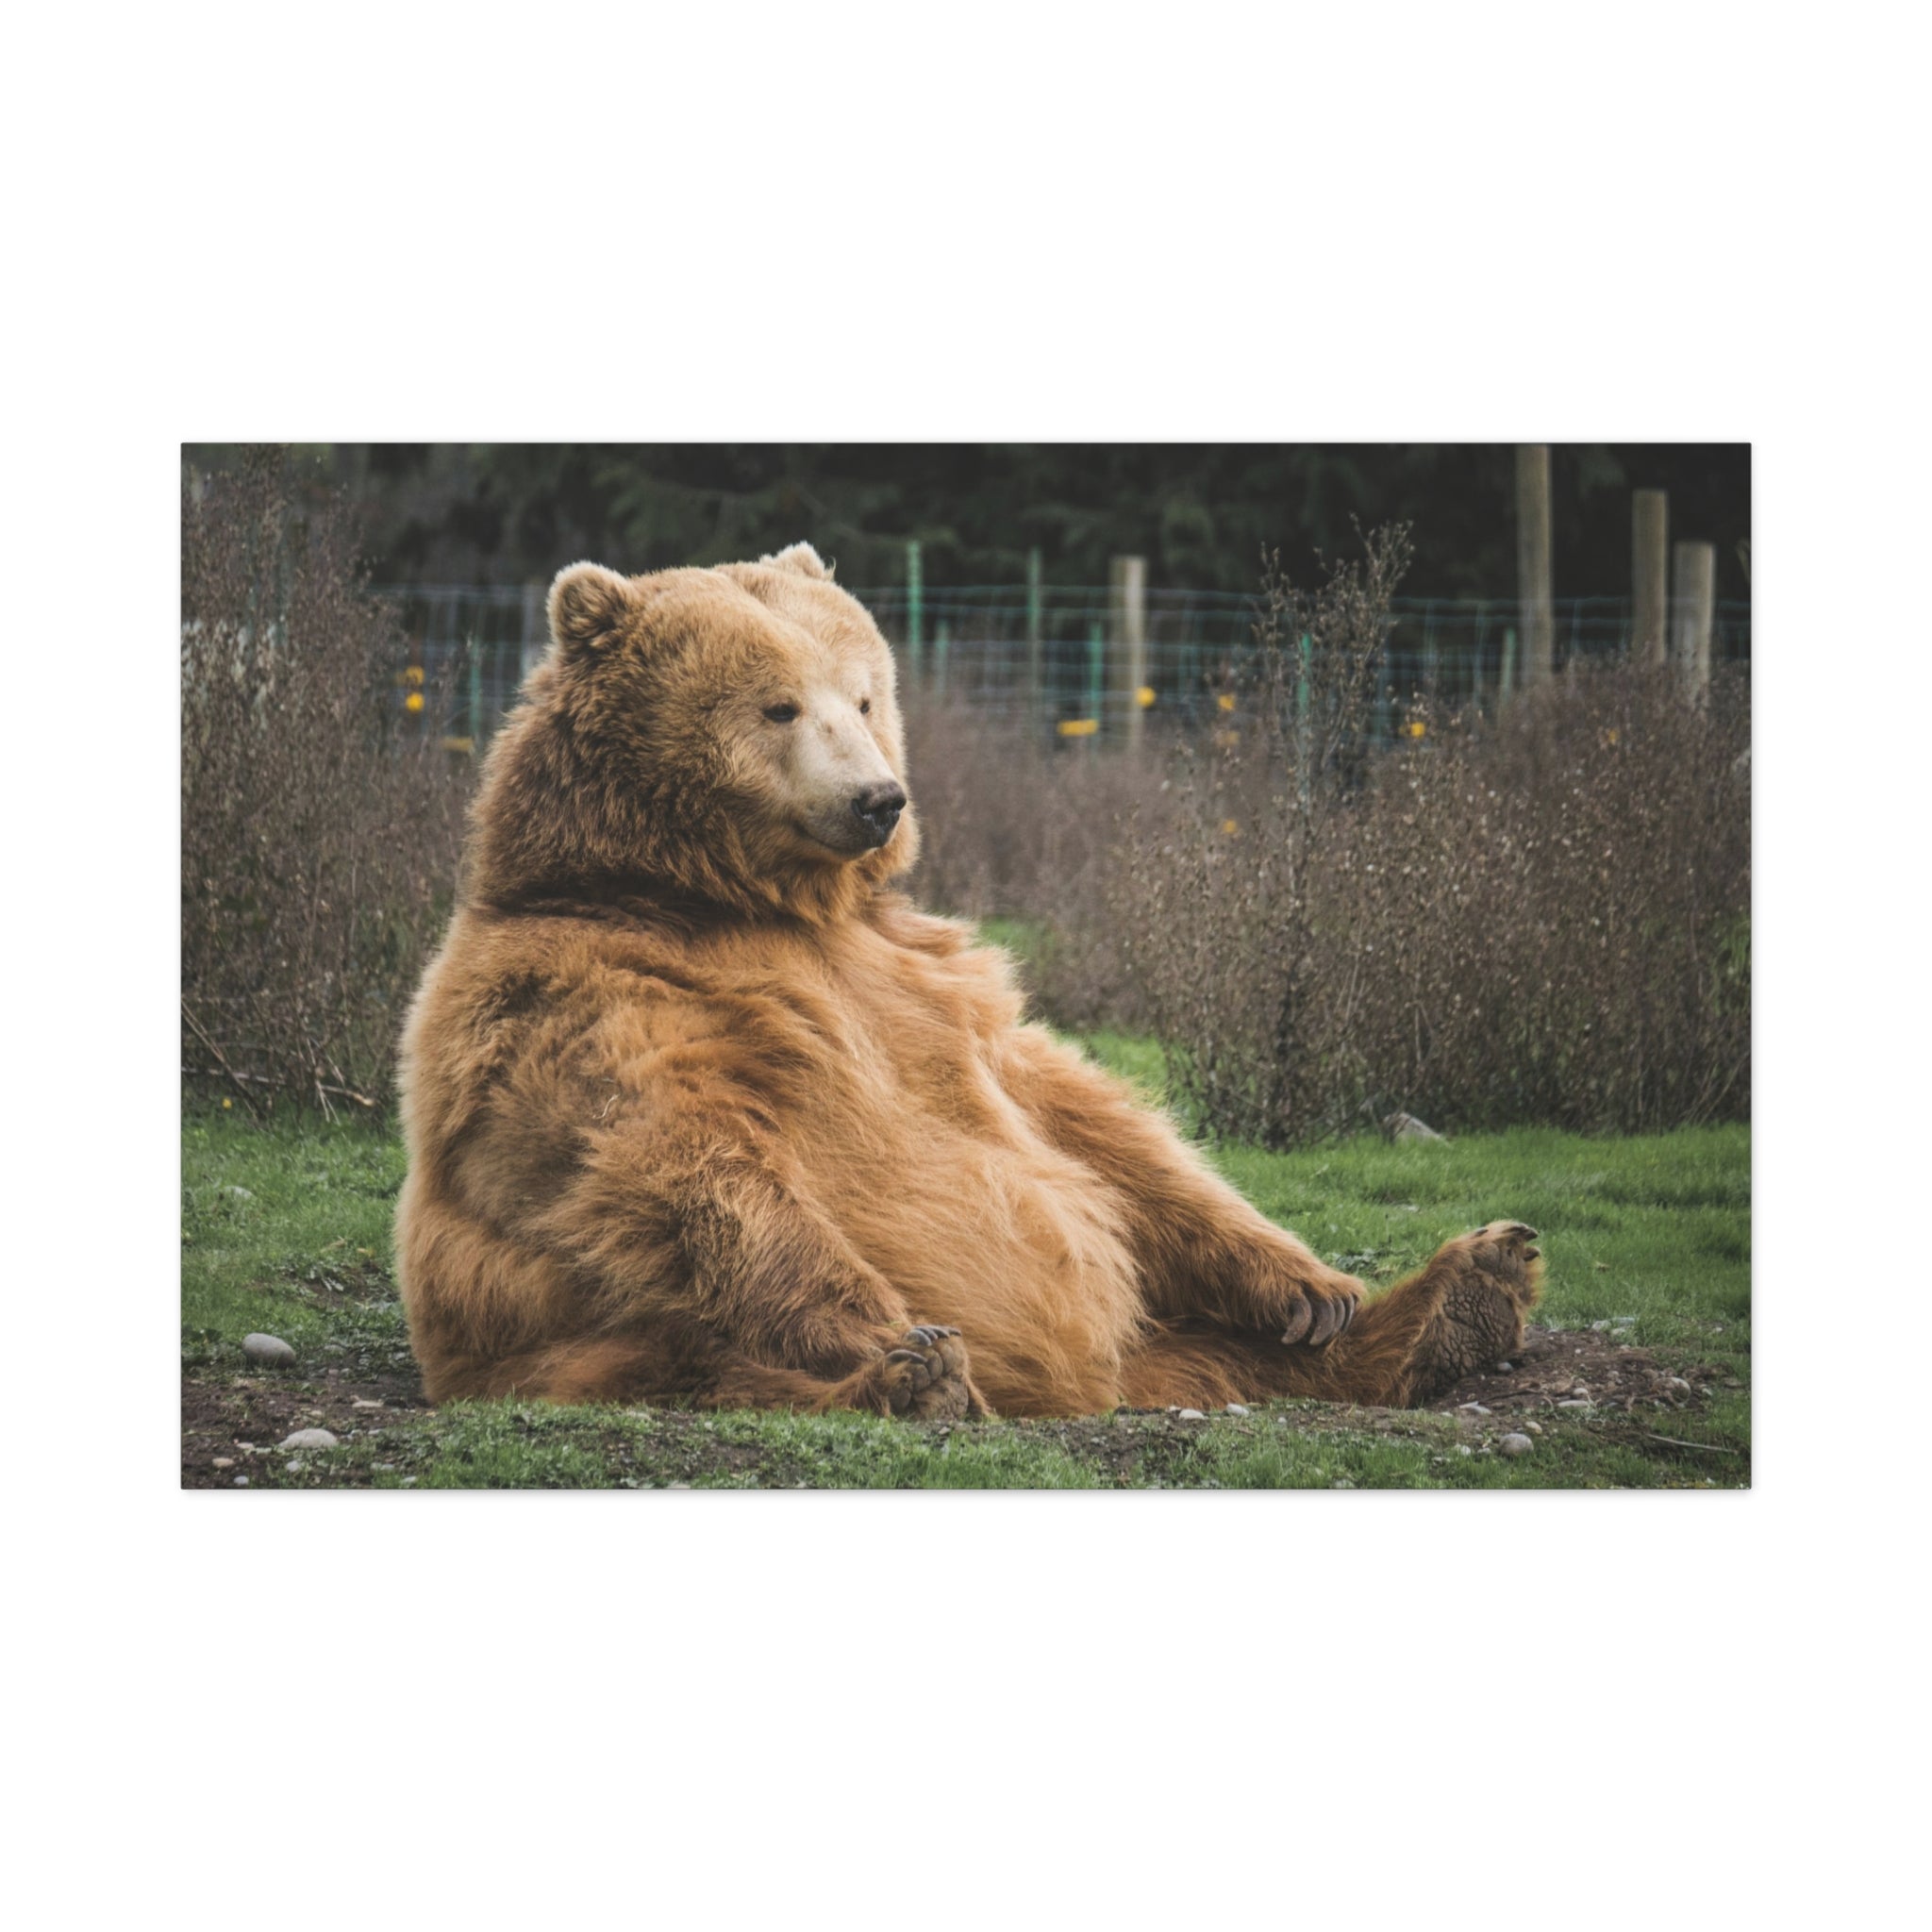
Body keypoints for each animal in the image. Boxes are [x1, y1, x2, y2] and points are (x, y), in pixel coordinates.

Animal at [394, 542, 1542, 1420]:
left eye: (864, 694)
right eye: (777, 707)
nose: (877, 798)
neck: (731, 898)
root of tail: (1091, 1388)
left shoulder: (927, 978)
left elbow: (1086, 1118)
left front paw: (1309, 1285)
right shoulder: (585, 992)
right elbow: (677, 1157)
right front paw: (894, 1334)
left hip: (1161, 1336)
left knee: (1228, 1351)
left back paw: (1461, 1294)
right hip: (575, 1341)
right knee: (705, 1362)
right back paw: (916, 1380)